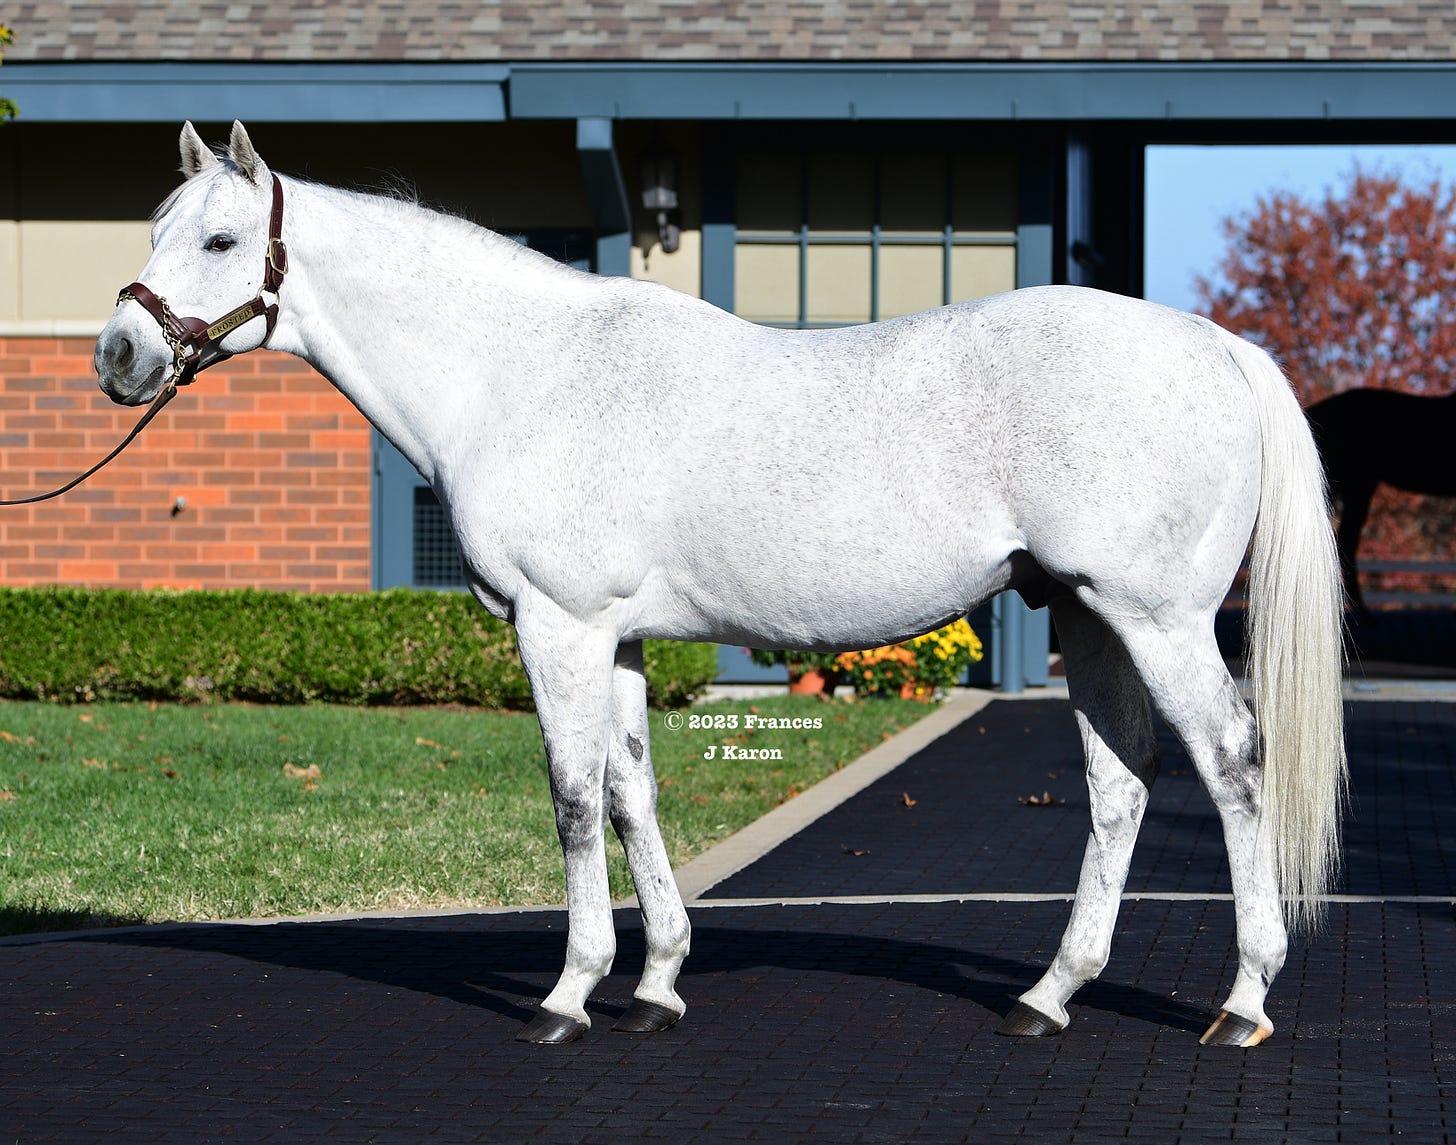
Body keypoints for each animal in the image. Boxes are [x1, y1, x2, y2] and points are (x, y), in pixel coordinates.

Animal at [91, 122, 1345, 1043]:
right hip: (1087, 616)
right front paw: (654, 985)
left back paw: (1241, 1001)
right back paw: (1048, 995)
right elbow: (633, 792)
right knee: (1121, 784)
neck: (521, 371)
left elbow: (570, 795)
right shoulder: (620, 637)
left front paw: (567, 993)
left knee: (1230, 764)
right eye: (155, 229)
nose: (119, 357)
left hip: (1156, 618)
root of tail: (1215, 344)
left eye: (218, 240)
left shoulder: (557, 626)